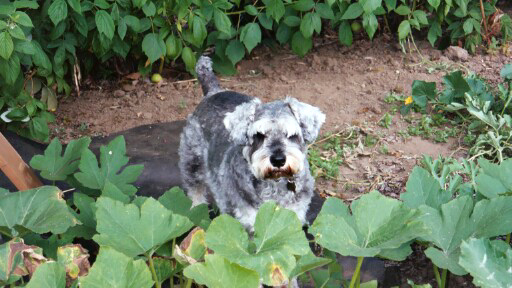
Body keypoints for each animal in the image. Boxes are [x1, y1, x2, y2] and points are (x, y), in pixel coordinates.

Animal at [180, 55, 324, 228]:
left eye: (291, 134)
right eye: (259, 135)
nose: (278, 160)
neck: (275, 185)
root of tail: (213, 92)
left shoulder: (291, 218)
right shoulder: (243, 222)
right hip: (192, 164)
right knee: (195, 192)